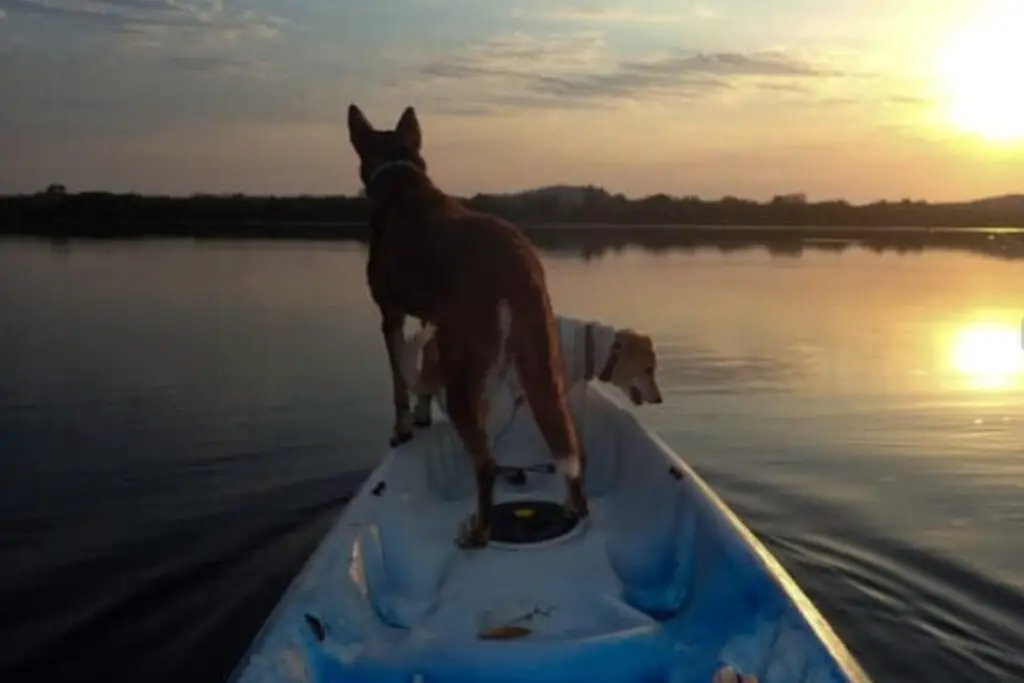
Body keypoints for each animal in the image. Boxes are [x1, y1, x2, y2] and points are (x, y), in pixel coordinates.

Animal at [346, 102, 589, 548]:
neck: (401, 181)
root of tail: (518, 259)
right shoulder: (432, 317)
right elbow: (423, 371)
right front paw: (423, 416)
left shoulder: (390, 315)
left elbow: (399, 382)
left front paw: (403, 428)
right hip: (540, 362)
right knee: (569, 448)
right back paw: (573, 510)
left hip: (464, 377)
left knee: (488, 466)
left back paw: (478, 534)